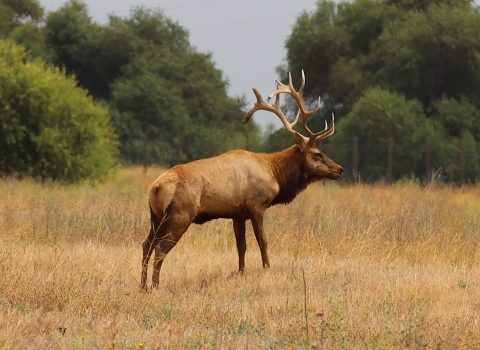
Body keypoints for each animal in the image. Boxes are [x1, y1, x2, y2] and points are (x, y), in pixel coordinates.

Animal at [141, 69, 344, 288]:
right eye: (317, 154)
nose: (340, 169)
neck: (275, 174)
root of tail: (156, 187)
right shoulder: (257, 205)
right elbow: (262, 241)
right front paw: (267, 268)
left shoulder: (237, 213)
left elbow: (241, 245)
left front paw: (241, 271)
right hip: (180, 214)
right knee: (160, 248)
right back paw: (155, 285)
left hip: (156, 216)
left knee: (146, 244)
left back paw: (143, 286)